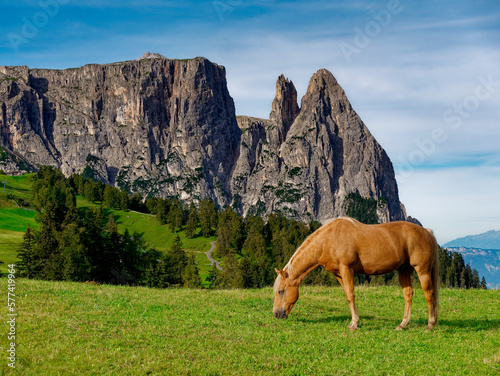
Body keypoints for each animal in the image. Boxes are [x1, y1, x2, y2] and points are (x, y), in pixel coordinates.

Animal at [272, 217, 440, 332]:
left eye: (281, 291)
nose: (276, 314)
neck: (328, 240)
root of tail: (427, 232)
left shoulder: (347, 269)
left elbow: (351, 296)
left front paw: (354, 324)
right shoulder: (339, 274)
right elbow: (347, 296)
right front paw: (355, 321)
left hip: (422, 270)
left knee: (429, 294)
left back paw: (430, 325)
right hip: (404, 270)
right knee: (408, 294)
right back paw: (403, 324)